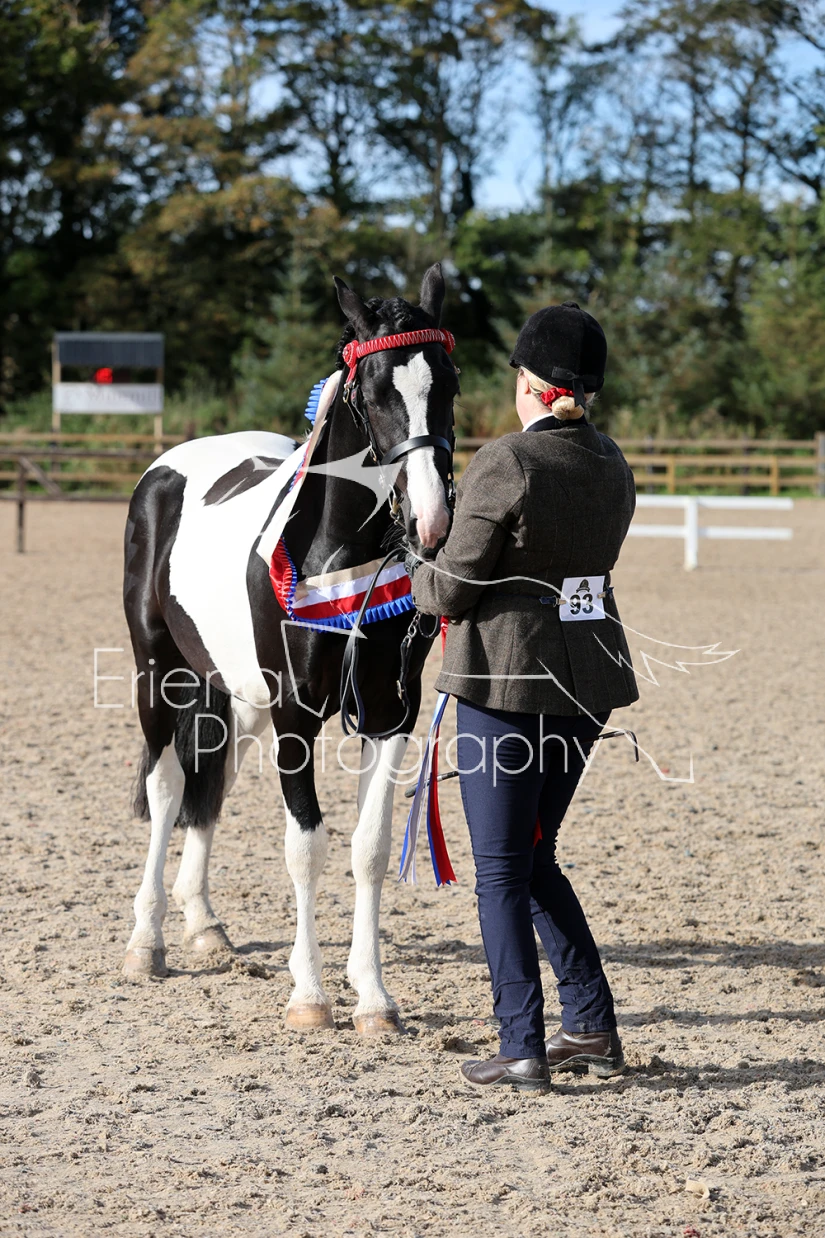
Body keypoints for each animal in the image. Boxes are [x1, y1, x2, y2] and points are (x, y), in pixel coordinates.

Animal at [121, 263, 459, 1035]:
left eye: (449, 385)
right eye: (376, 392)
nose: (431, 520)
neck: (334, 550)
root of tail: (167, 468)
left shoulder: (387, 714)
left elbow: (367, 848)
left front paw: (373, 997)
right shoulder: (297, 714)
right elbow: (305, 846)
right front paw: (309, 994)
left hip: (237, 696)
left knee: (208, 785)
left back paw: (204, 927)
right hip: (159, 674)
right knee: (165, 786)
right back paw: (146, 942)